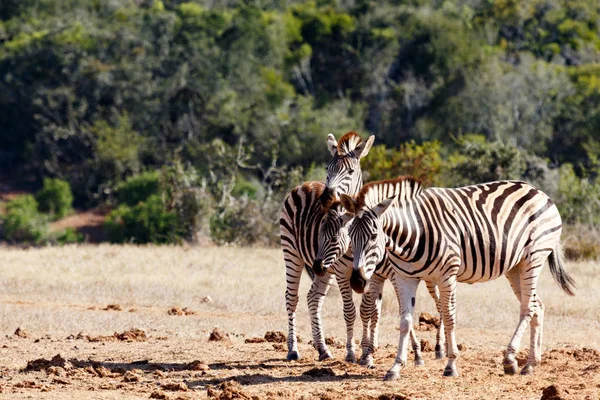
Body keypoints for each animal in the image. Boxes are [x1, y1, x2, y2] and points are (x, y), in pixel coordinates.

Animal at [280, 132, 372, 362]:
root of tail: (305, 184)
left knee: (313, 297)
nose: (326, 197)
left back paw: (322, 348)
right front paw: (351, 353)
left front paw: (367, 353)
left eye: (350, 171)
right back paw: (293, 349)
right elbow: (349, 311)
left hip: (324, 267)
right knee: (291, 298)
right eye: (327, 168)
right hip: (292, 253)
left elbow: (368, 309)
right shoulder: (341, 271)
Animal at [340, 178, 576, 382]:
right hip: (515, 266)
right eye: (350, 235)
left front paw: (450, 365)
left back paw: (510, 359)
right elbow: (405, 322)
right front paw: (395, 367)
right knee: (538, 306)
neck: (413, 233)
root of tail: (538, 191)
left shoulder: (447, 276)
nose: (357, 282)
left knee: (528, 307)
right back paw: (530, 364)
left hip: (533, 257)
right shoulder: (404, 277)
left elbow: (449, 317)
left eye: (373, 236)